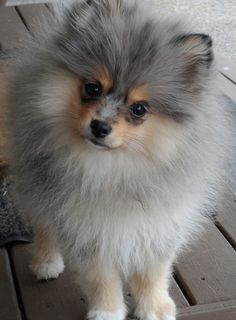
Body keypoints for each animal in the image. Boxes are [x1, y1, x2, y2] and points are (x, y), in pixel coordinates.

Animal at [7, 0, 232, 320]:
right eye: (92, 88)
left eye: (139, 109)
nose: (99, 127)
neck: (117, 168)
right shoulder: (85, 227)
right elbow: (100, 277)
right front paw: (107, 311)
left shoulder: (160, 222)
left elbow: (153, 272)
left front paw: (155, 307)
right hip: (33, 181)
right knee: (42, 222)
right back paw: (46, 261)